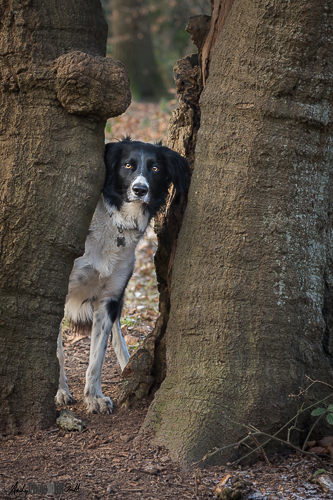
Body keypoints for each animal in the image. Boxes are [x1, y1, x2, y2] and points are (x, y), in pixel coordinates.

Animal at [55, 138, 188, 414]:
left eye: (155, 168)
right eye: (128, 165)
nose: (139, 189)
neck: (117, 224)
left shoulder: (110, 298)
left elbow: (97, 356)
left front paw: (94, 397)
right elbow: (57, 352)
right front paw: (61, 391)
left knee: (116, 333)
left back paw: (128, 364)